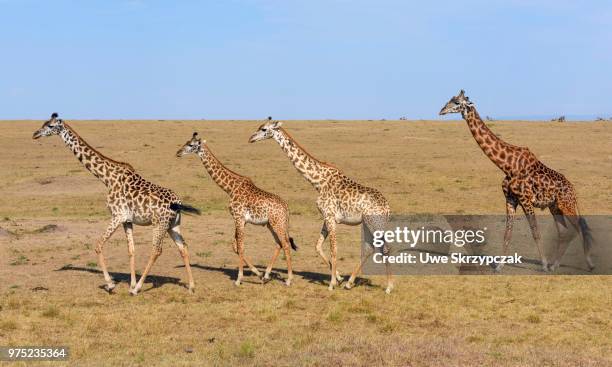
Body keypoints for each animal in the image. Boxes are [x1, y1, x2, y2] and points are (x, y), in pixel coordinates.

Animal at [32, 113, 200, 294]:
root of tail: (178, 202)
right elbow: (131, 250)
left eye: (50, 126)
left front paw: (111, 284)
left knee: (156, 250)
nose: (35, 134)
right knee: (183, 247)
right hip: (173, 225)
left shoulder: (117, 216)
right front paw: (130, 283)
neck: (107, 178)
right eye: (44, 123)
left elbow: (98, 245)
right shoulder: (127, 220)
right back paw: (191, 286)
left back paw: (138, 289)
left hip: (159, 224)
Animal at [176, 133, 298, 288]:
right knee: (279, 243)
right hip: (271, 224)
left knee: (286, 244)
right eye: (186, 142)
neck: (230, 188)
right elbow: (235, 246)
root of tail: (286, 208)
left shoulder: (238, 218)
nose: (178, 152)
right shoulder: (240, 220)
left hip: (278, 223)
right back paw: (266, 275)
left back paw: (289, 279)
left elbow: (240, 246)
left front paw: (239, 279)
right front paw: (258, 274)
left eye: (191, 145)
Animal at [440, 90, 592, 272]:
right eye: (449, 99)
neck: (506, 165)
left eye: (456, 102)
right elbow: (507, 233)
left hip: (566, 205)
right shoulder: (510, 199)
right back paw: (555, 265)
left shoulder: (525, 199)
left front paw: (543, 265)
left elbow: (535, 231)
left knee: (580, 228)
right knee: (564, 232)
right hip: (554, 206)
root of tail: (574, 191)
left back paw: (588, 264)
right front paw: (499, 266)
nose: (441, 111)